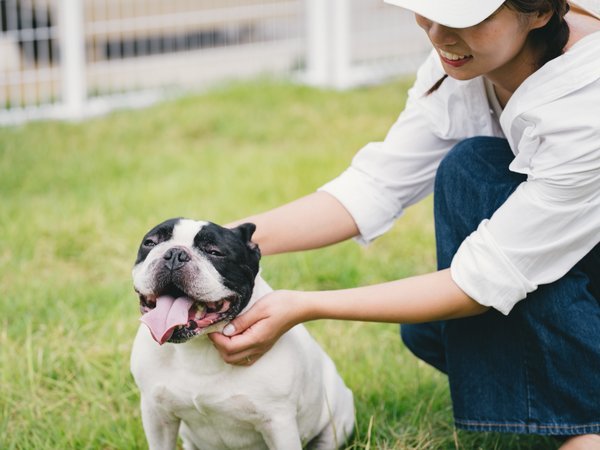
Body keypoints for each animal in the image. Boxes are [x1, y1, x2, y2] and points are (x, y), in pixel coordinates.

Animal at [129, 219, 354, 450]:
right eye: (150, 243)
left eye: (214, 252)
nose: (175, 254)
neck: (198, 347)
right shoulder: (157, 414)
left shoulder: (278, 423)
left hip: (336, 424)